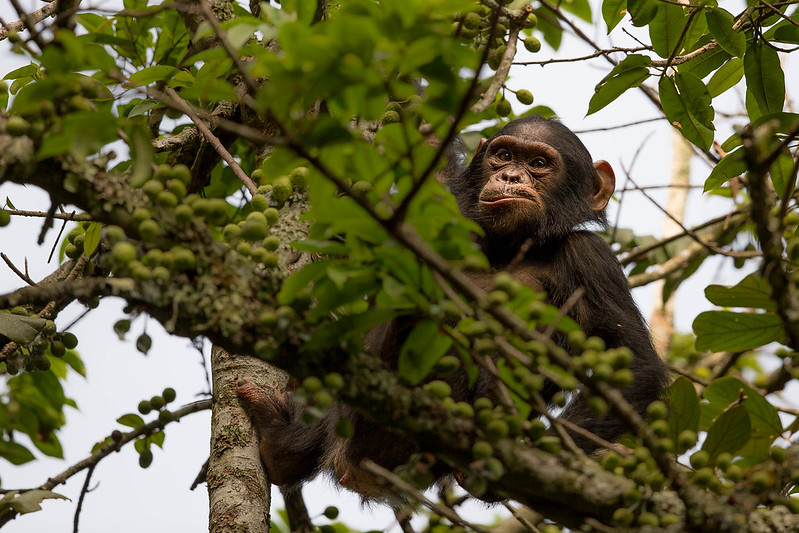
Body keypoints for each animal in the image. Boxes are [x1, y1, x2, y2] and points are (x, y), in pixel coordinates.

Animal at [236, 115, 668, 498]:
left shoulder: (592, 260)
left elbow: (634, 365)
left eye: (539, 164)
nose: (510, 177)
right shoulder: (442, 202)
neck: (508, 247)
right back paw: (282, 443)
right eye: (503, 155)